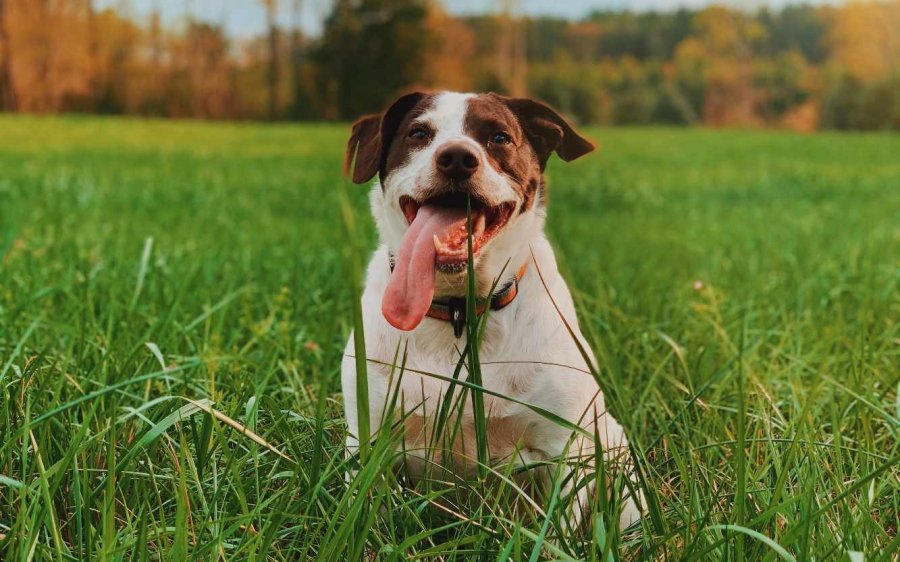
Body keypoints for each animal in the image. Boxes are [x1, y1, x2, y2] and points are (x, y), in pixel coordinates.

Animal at [342, 89, 644, 528]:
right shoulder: (368, 441)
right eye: (419, 133)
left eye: (499, 137)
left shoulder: (564, 449)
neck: (458, 312)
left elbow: (561, 529)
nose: (456, 157)